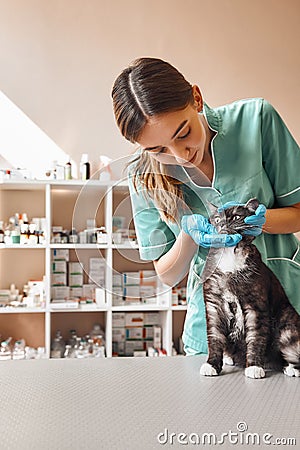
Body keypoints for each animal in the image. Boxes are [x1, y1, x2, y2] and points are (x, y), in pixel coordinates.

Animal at [199, 199, 300, 378]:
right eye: (217, 219)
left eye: (236, 217)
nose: (222, 223)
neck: (229, 256)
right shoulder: (214, 305)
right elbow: (215, 337)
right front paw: (211, 364)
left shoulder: (255, 306)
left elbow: (256, 337)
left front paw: (254, 366)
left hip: (286, 325)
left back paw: (291, 368)